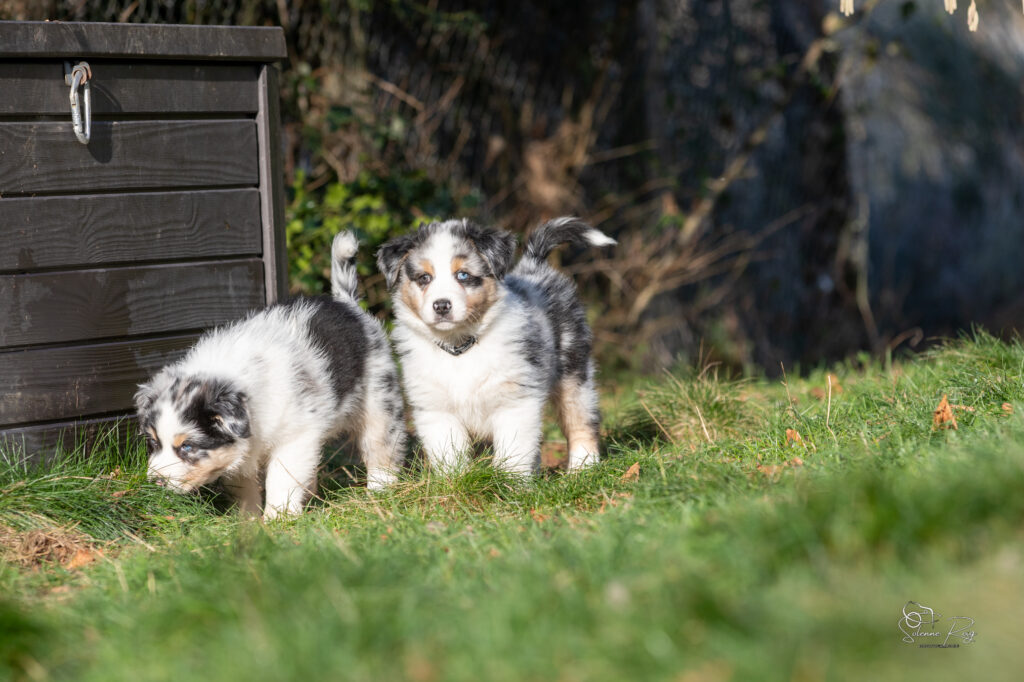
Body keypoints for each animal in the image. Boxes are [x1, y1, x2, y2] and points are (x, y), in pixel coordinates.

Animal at [136, 232, 406, 518]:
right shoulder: (243, 451)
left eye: (187, 447)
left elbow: (282, 478)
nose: (155, 483)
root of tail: (347, 304)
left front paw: (278, 517)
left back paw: (380, 491)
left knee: (382, 445)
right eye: (153, 443)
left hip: (379, 400)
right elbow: (243, 484)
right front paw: (247, 519)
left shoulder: (295, 437)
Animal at [377, 216, 615, 476]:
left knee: (581, 420)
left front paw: (510, 483)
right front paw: (454, 482)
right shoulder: (436, 409)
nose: (441, 306)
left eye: (463, 275)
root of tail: (534, 266)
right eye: (424, 278)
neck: (459, 348)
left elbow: (513, 451)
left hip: (574, 372)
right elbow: (449, 454)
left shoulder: (514, 401)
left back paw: (583, 468)